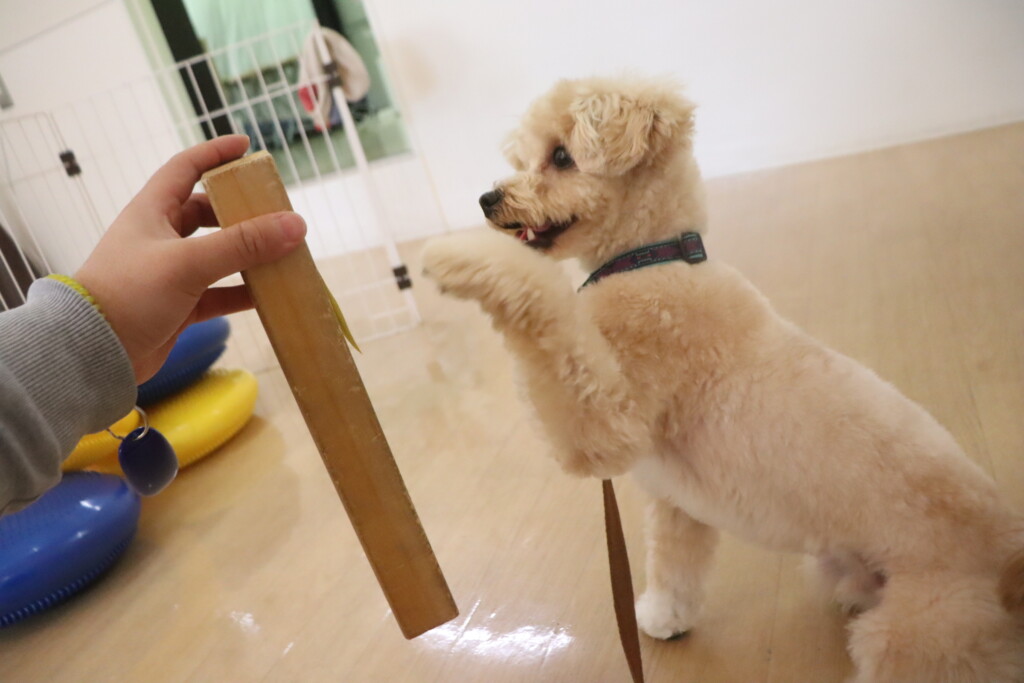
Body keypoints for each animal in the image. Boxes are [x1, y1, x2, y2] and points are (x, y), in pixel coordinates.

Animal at [421, 76, 1024, 682]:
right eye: (523, 158)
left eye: (562, 157)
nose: (486, 200)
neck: (651, 259)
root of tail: (1010, 563)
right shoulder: (676, 507)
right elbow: (674, 569)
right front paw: (664, 618)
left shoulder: (604, 428)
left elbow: (538, 304)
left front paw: (459, 258)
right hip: (838, 570)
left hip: (907, 639)